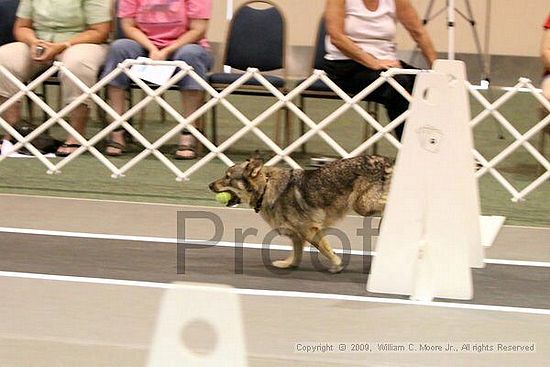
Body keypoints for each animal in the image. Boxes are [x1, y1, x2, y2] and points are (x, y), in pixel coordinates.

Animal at [209, 155, 394, 274]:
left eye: (227, 177)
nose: (210, 185)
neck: (266, 188)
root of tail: (383, 160)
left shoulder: (309, 231)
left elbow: (325, 250)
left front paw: (336, 265)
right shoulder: (297, 235)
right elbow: (296, 254)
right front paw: (288, 264)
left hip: (362, 205)